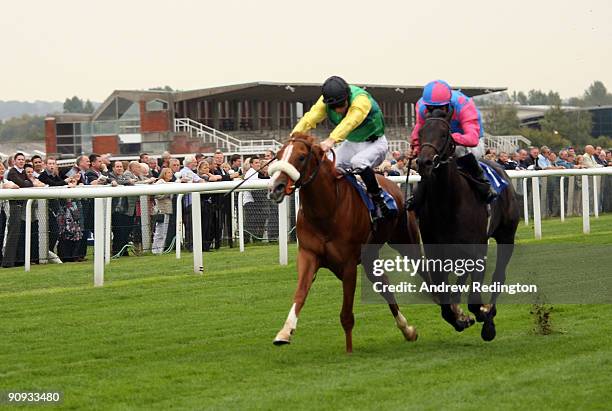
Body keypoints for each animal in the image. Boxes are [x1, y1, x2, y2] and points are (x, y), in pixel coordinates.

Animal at [268, 134, 420, 352]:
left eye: (301, 157)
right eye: (279, 156)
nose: (276, 188)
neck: (326, 211)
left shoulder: (348, 264)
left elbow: (346, 314)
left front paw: (349, 350)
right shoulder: (308, 254)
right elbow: (300, 293)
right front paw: (284, 332)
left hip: (406, 240)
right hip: (369, 255)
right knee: (383, 284)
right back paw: (407, 329)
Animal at [414, 110, 520, 342]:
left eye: (444, 133)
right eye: (421, 132)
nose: (424, 162)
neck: (448, 203)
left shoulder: (477, 251)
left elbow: (473, 299)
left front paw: (484, 318)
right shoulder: (436, 252)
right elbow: (445, 301)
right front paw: (461, 319)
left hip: (506, 236)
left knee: (499, 275)